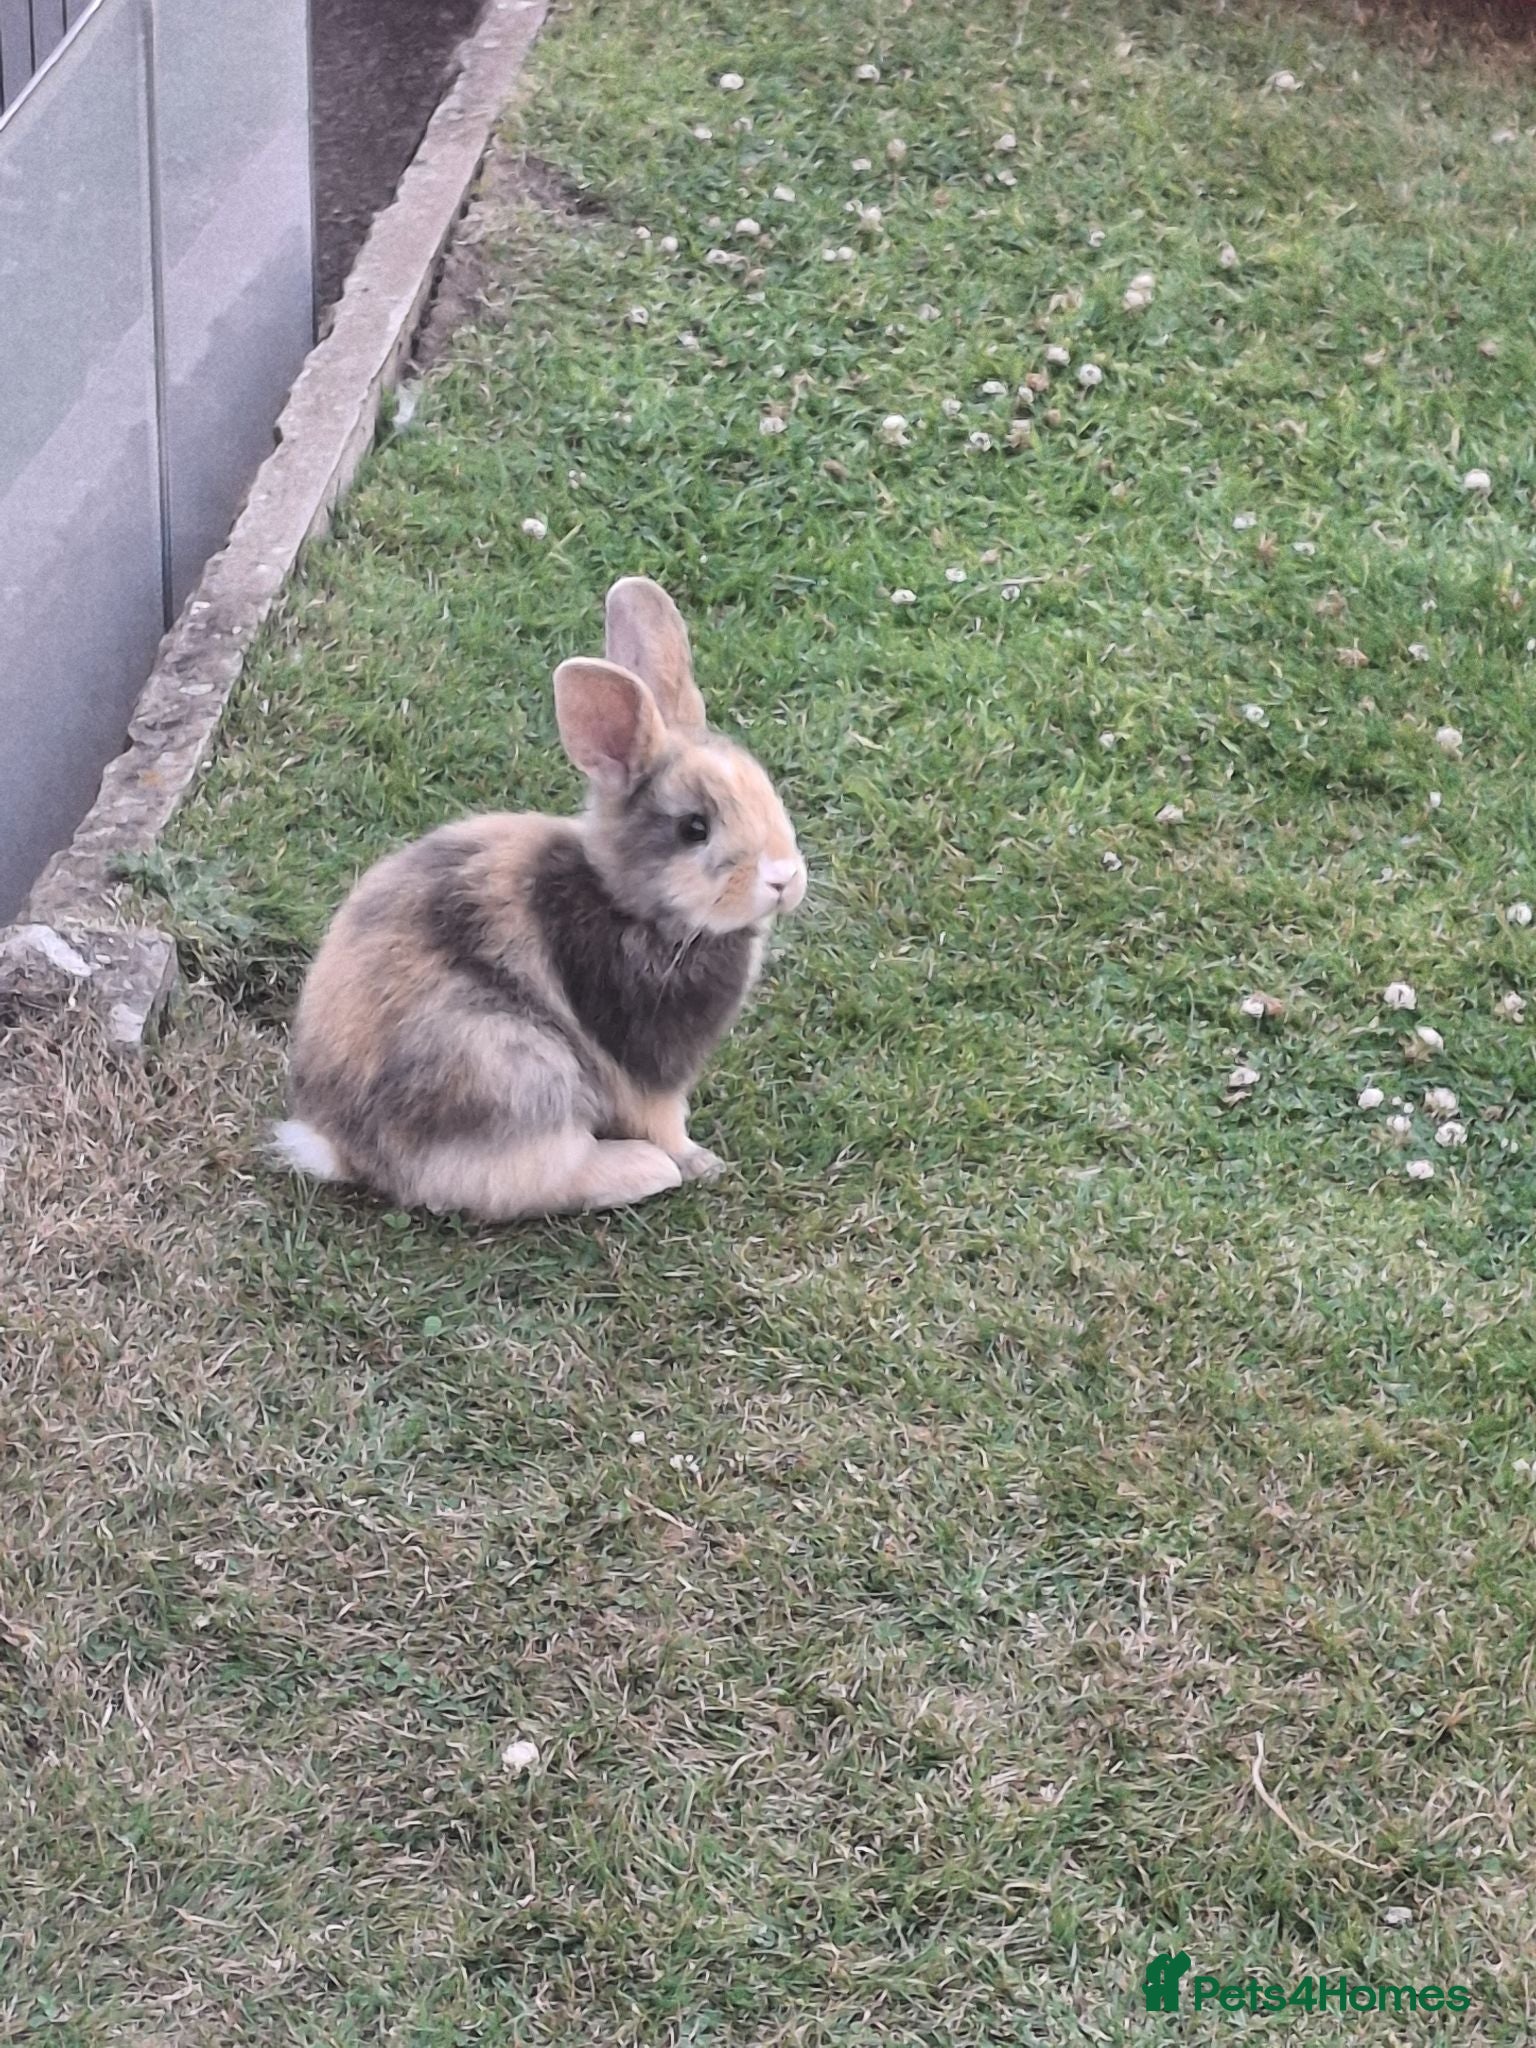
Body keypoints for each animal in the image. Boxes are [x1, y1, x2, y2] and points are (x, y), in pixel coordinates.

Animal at [270, 577, 806, 1219]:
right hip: (516, 1068)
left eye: (765, 788)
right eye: (694, 828)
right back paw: (642, 1170)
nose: (784, 877)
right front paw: (701, 1162)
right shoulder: (644, 1069)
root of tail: (343, 1146)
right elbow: (664, 1122)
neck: (633, 905)